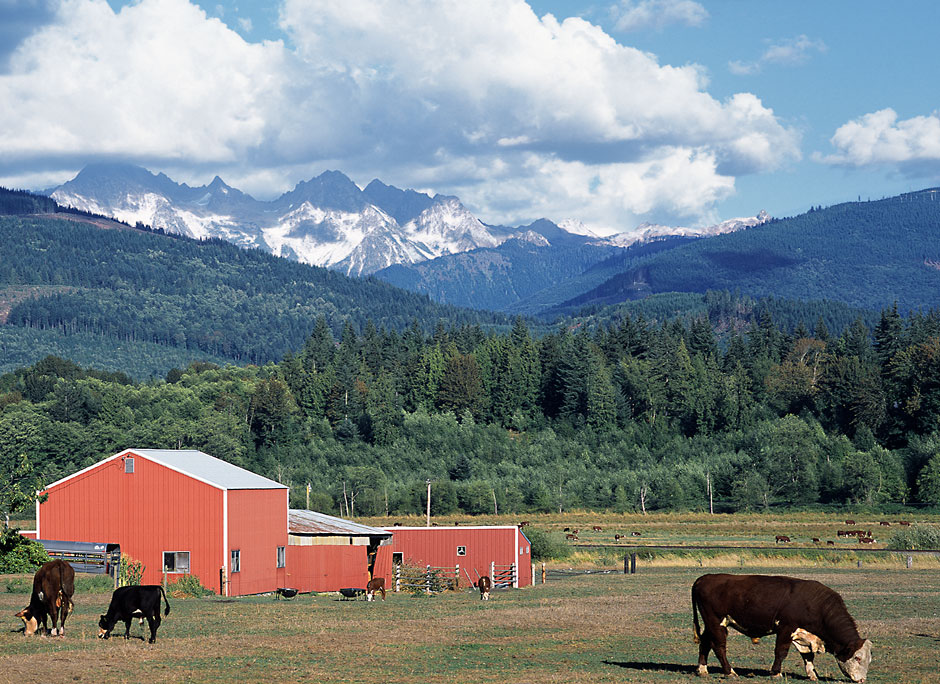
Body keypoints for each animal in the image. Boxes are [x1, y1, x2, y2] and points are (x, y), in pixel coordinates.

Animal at [692, 576, 872, 680]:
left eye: (869, 659)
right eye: (857, 658)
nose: (862, 680)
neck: (817, 606)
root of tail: (704, 578)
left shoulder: (804, 635)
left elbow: (808, 656)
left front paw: (813, 674)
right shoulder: (786, 628)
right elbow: (781, 652)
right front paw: (776, 672)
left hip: (711, 624)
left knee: (705, 643)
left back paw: (702, 670)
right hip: (717, 623)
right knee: (719, 647)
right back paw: (730, 672)